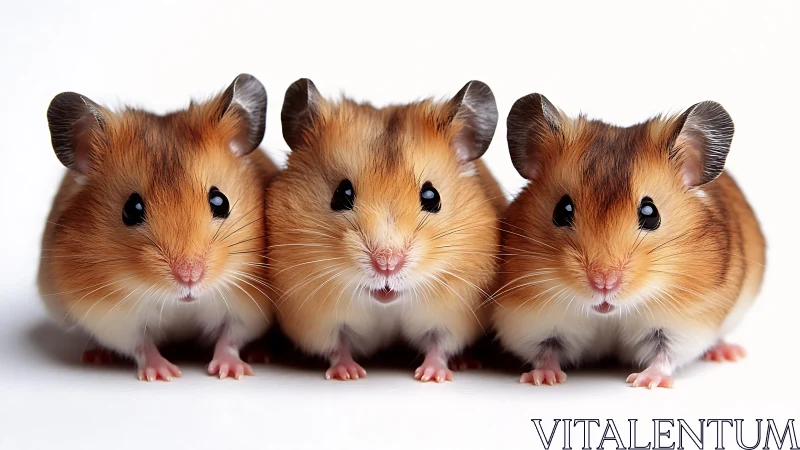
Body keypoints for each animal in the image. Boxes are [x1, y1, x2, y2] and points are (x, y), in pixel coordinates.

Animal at [38, 74, 279, 381]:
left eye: (220, 201)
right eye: (131, 209)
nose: (189, 277)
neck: (178, 303)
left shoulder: (245, 305)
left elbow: (230, 337)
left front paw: (230, 372)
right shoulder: (111, 316)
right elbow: (140, 345)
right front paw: (164, 374)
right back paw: (96, 356)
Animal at [267, 79, 506, 382]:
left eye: (432, 196)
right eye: (342, 194)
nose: (387, 265)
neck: (386, 304)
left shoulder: (452, 317)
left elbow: (439, 346)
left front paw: (431, 376)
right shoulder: (317, 321)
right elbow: (337, 347)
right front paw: (349, 374)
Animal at [492, 93, 765, 388]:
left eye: (650, 213)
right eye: (562, 211)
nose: (603, 283)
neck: (609, 314)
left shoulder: (684, 324)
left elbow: (665, 355)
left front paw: (644, 382)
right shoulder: (533, 322)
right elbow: (545, 352)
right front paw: (543, 379)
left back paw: (729, 353)